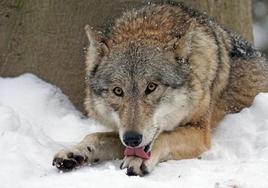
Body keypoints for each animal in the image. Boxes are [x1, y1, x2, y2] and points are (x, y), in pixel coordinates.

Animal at [52, 1, 268, 176]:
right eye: (118, 91)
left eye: (151, 87)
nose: (132, 139)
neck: (146, 26)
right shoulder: (122, 132)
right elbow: (94, 136)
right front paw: (75, 151)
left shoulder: (200, 132)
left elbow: (164, 136)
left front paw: (137, 159)